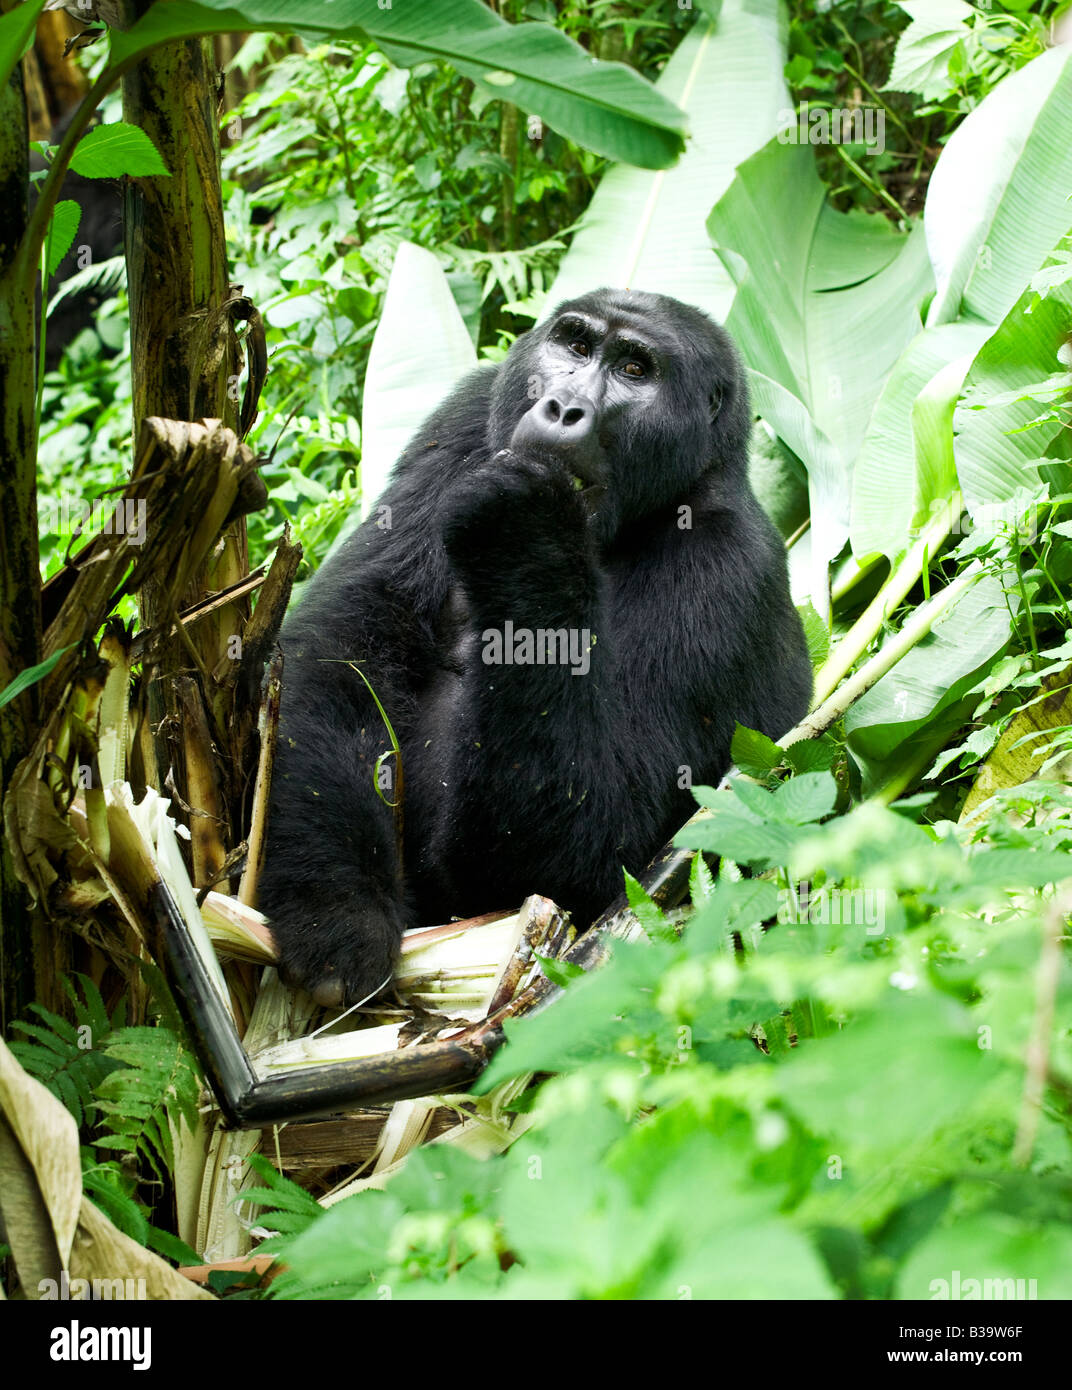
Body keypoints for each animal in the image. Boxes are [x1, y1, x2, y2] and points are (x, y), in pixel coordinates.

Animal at [261, 287, 811, 1006]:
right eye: (575, 346)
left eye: (634, 370)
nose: (563, 406)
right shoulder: (467, 414)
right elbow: (339, 656)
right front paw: (336, 907)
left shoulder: (728, 570)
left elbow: (584, 861)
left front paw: (527, 539)